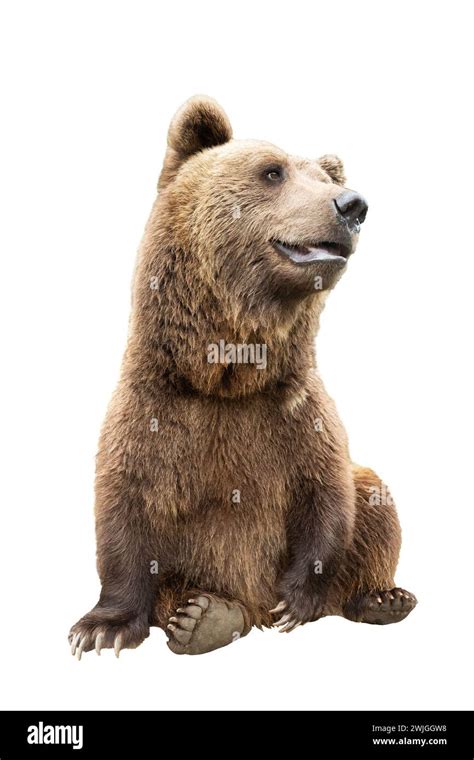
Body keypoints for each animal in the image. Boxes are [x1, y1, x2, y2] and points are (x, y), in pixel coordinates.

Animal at [69, 95, 417, 658]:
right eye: (272, 171)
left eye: (325, 175)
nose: (353, 205)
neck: (226, 375)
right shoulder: (153, 414)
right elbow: (124, 511)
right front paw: (102, 628)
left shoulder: (296, 415)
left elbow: (330, 497)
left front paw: (293, 602)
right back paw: (205, 615)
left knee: (374, 500)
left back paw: (382, 599)